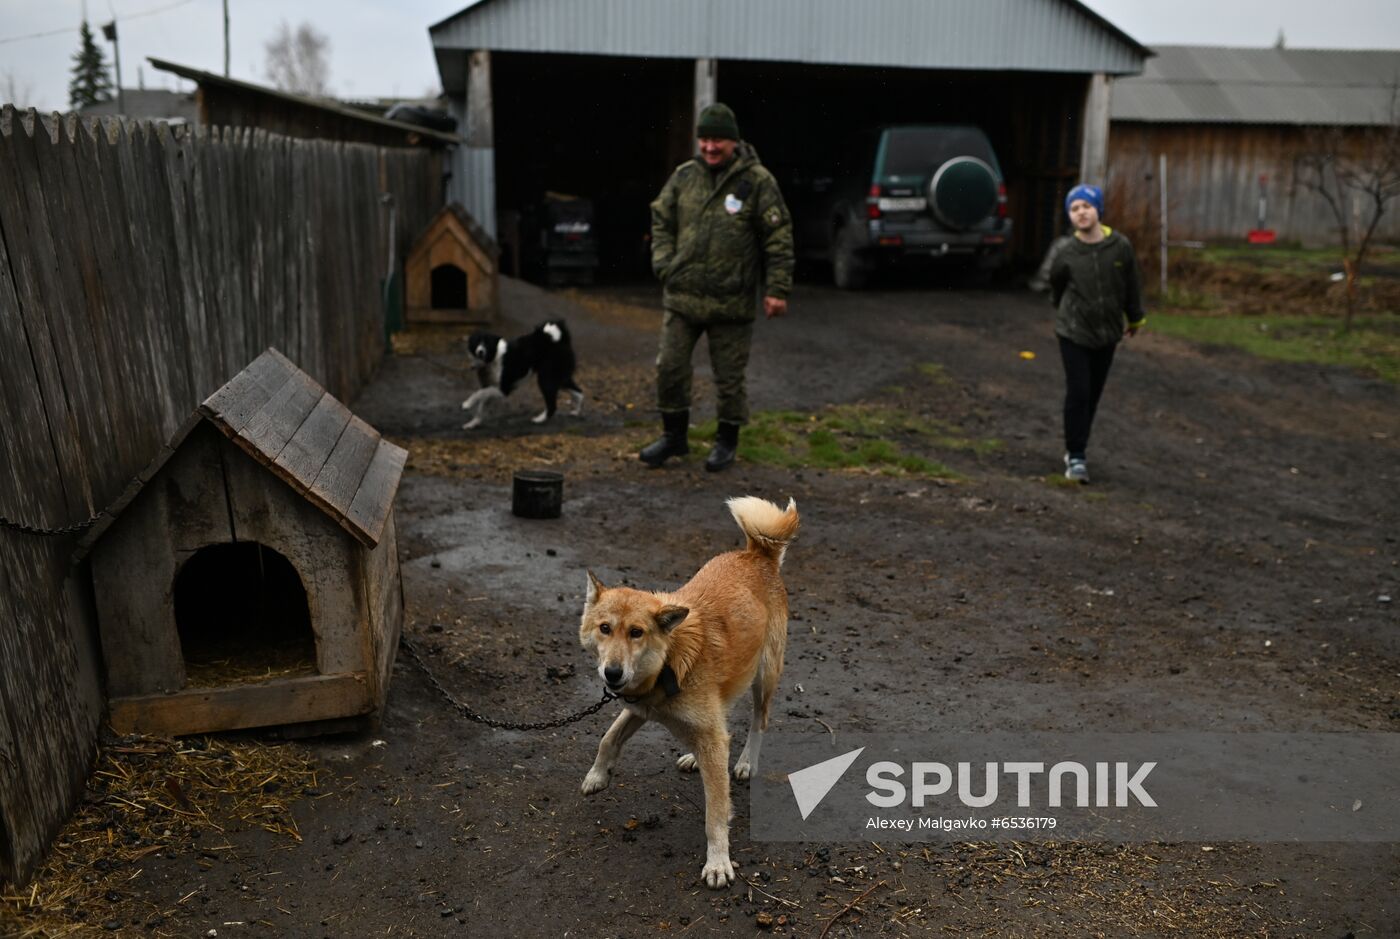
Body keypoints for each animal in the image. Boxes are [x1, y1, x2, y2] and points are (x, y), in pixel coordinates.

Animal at [576, 498, 800, 890]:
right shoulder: (640, 706)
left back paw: (744, 762)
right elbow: (608, 737)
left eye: (636, 632)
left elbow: (716, 812)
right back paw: (696, 756)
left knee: (758, 721)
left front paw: (718, 861)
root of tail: (757, 553)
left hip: (765, 677)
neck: (669, 658)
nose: (612, 673)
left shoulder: (692, 722)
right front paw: (597, 776)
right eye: (604, 628)